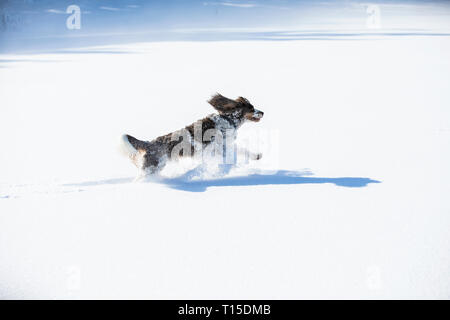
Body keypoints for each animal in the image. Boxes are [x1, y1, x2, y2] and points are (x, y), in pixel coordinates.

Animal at [119, 94, 264, 176]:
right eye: (251, 108)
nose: (262, 112)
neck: (228, 119)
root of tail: (148, 143)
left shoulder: (225, 145)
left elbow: (242, 150)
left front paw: (256, 156)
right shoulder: (217, 148)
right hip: (152, 168)